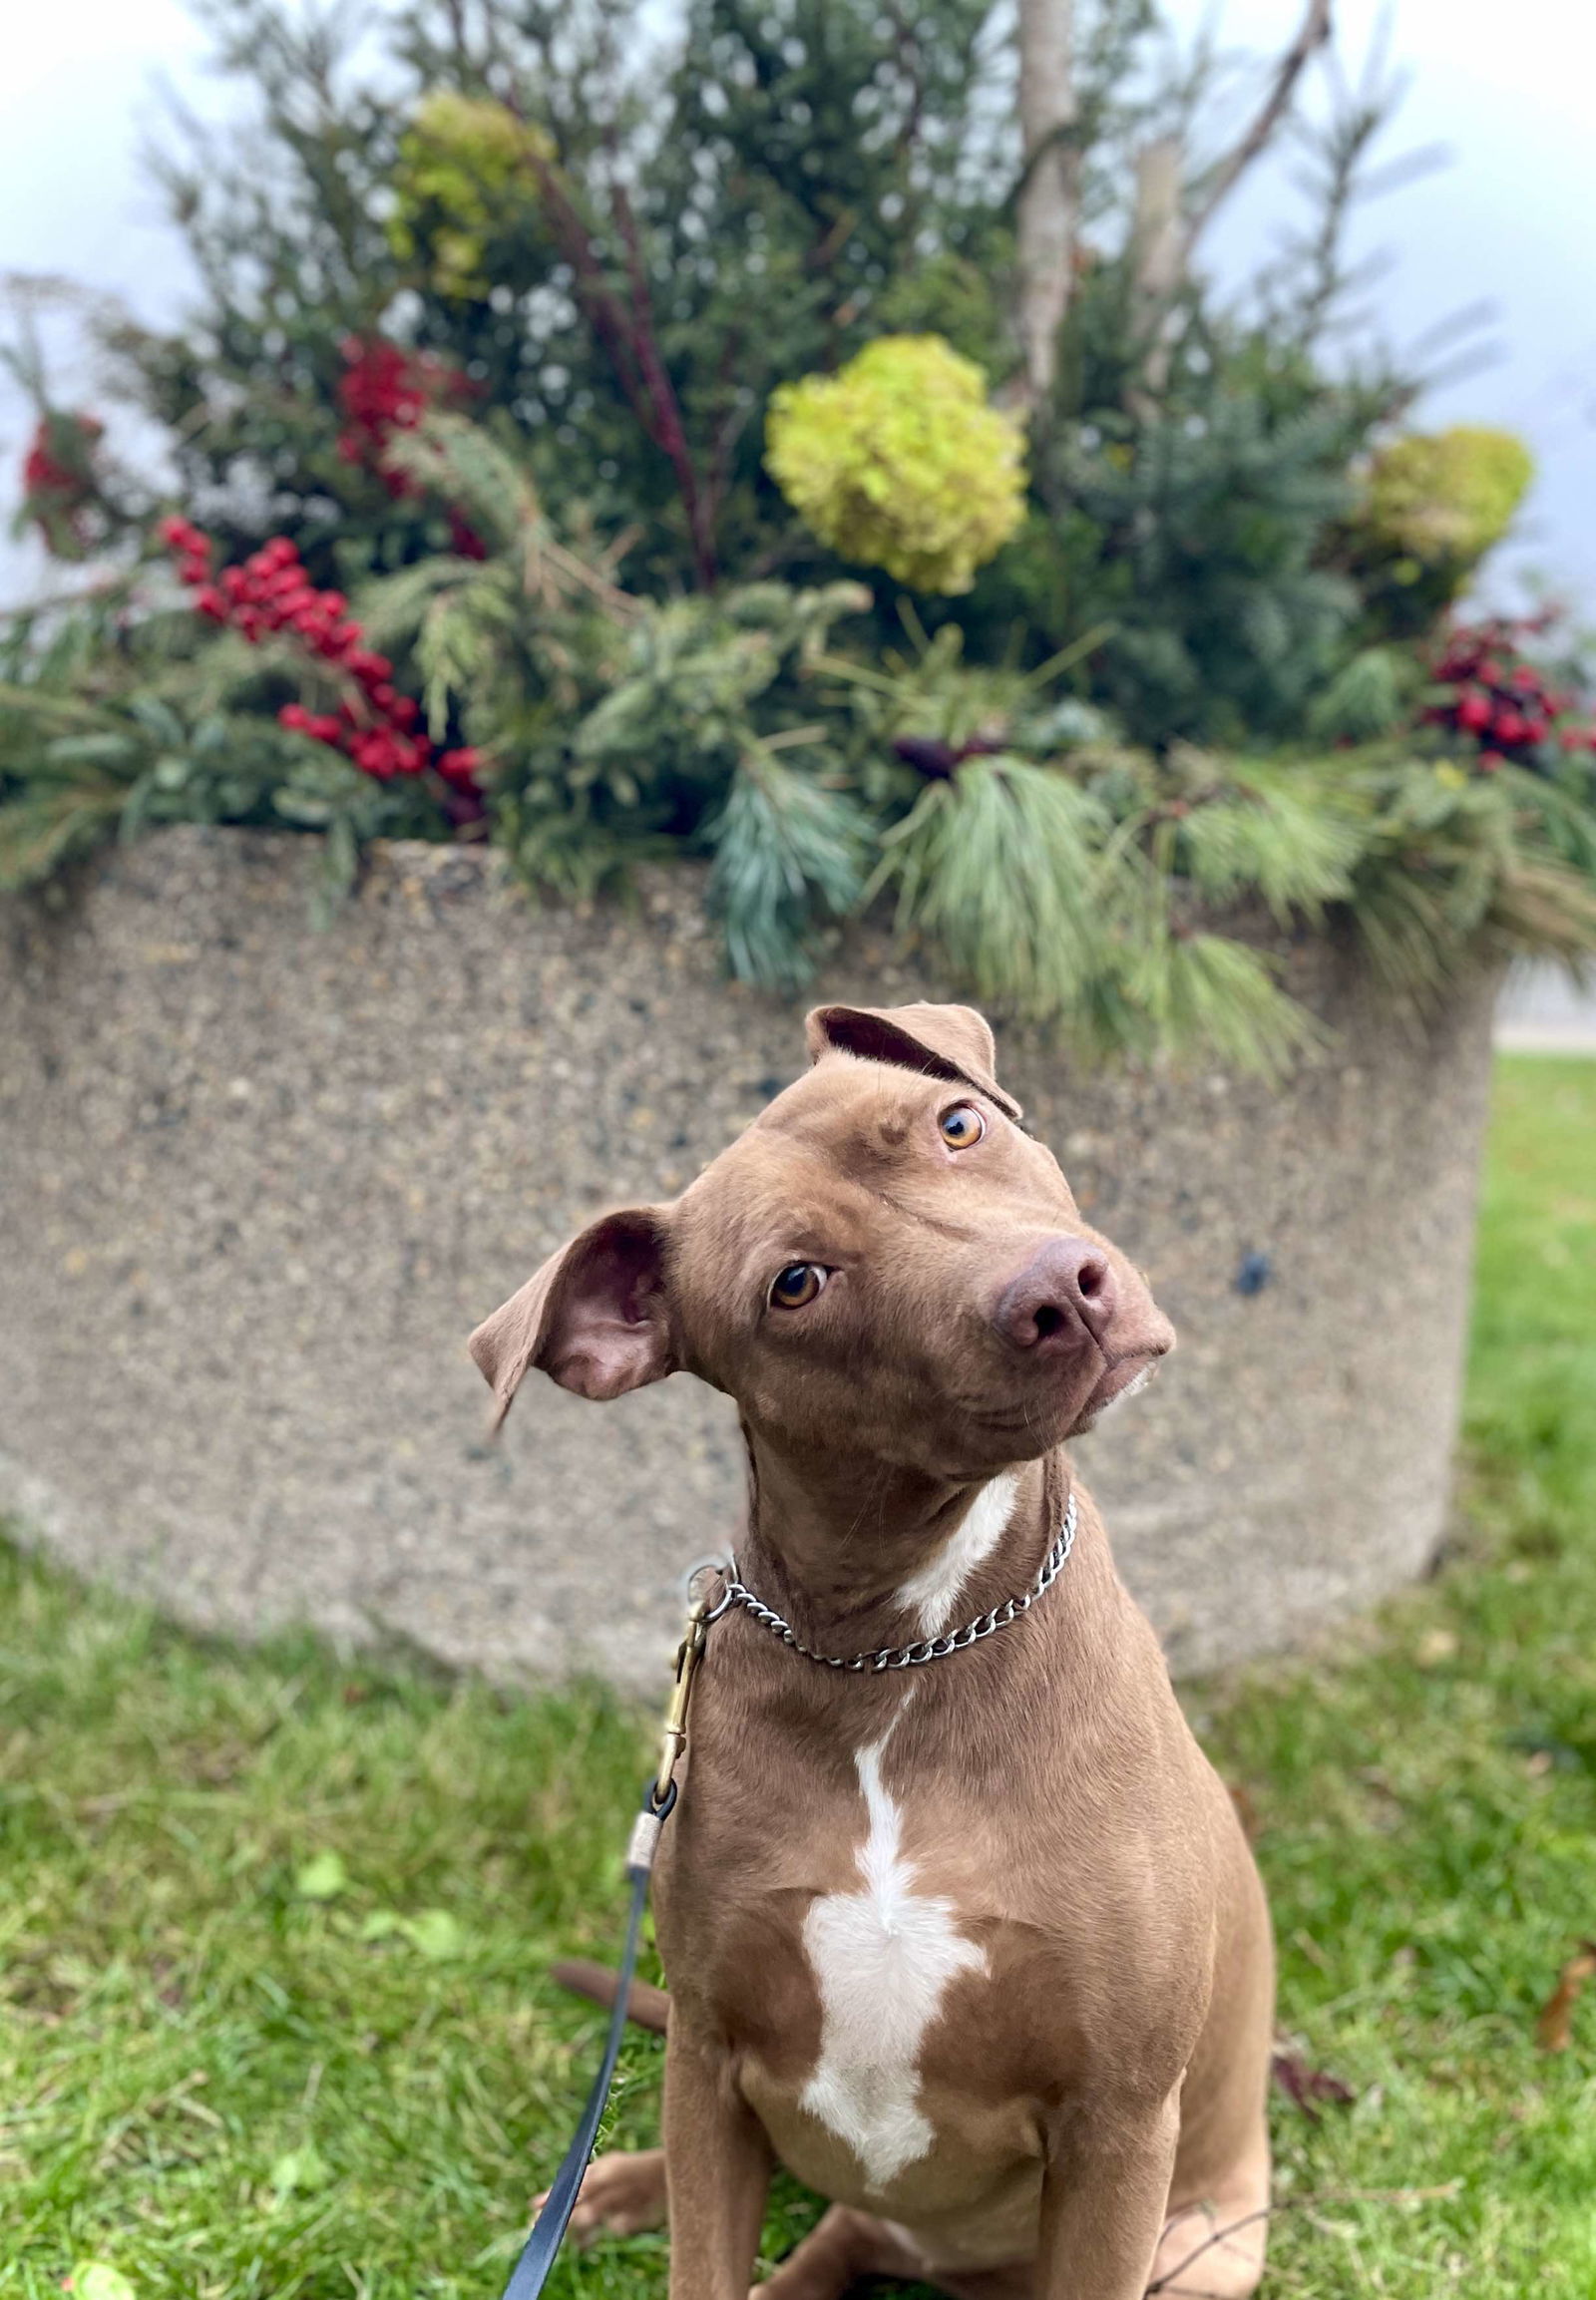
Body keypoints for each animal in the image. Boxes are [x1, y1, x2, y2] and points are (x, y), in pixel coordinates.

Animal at [471, 1007, 1278, 2300]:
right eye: (796, 1283)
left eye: (957, 1124)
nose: (1061, 1293)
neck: (902, 1651)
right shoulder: (711, 2060)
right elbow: (704, 2256)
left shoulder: (1115, 2123)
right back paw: (608, 2183)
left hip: (1193, 2244)